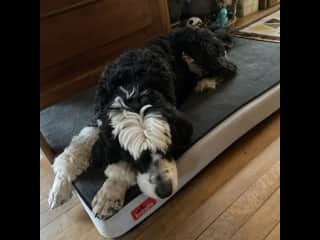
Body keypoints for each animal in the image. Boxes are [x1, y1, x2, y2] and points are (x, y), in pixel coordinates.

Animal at [48, 26, 238, 219]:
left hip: (198, 50)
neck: (133, 87)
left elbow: (121, 168)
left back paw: (206, 82)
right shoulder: (101, 118)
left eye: (168, 148)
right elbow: (76, 148)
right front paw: (60, 186)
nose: (165, 191)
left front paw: (109, 194)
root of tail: (207, 30)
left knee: (228, 67)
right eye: (136, 157)